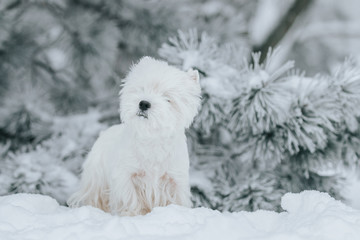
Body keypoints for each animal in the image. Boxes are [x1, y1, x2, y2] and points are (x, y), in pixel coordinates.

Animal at [67, 56, 201, 216]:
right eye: (142, 88)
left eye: (168, 98)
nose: (143, 103)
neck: (152, 140)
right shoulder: (126, 175)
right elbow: (129, 198)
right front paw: (131, 214)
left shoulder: (174, 179)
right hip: (95, 176)